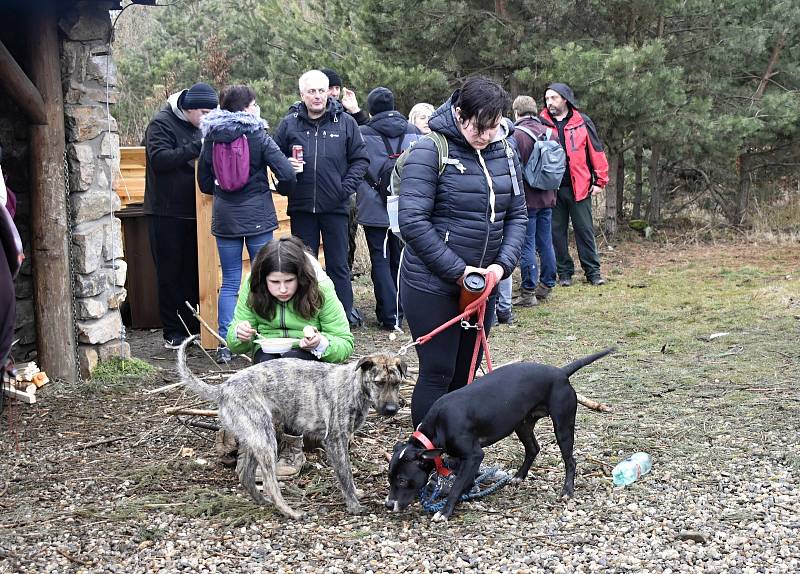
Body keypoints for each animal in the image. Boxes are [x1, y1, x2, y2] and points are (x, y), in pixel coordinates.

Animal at [177, 338, 406, 520]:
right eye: (378, 383)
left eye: (396, 383)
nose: (392, 410)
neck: (353, 385)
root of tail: (223, 388)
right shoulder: (336, 440)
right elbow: (345, 474)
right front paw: (354, 505)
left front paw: (356, 495)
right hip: (265, 439)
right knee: (270, 484)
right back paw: (290, 512)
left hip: (254, 437)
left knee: (244, 475)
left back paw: (262, 501)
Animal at [386, 352, 612, 520]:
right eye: (389, 477)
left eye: (403, 480)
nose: (389, 505)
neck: (436, 427)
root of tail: (560, 372)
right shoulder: (465, 458)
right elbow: (464, 479)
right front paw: (467, 492)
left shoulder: (474, 455)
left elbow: (458, 484)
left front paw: (445, 510)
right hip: (522, 425)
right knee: (533, 449)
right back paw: (519, 476)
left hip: (562, 426)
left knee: (570, 460)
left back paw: (567, 491)